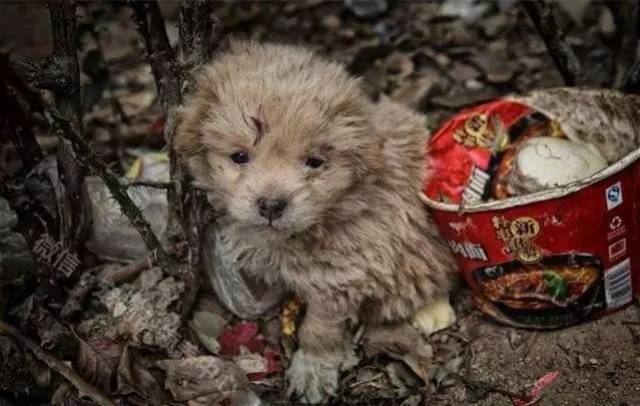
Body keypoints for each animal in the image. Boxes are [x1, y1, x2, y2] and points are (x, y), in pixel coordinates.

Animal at [174, 41, 456, 402]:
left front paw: (313, 369)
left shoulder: (340, 274)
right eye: (239, 157)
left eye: (315, 162)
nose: (271, 205)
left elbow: (320, 328)